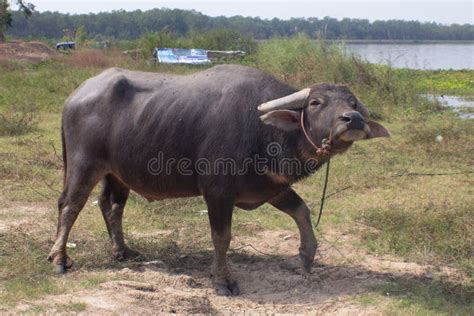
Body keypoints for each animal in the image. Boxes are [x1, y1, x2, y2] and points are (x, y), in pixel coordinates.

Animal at [47, 64, 388, 296]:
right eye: (316, 102)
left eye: (352, 103)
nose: (353, 120)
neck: (264, 131)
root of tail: (77, 94)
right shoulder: (217, 192)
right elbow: (222, 237)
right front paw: (223, 281)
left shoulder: (271, 187)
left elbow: (302, 212)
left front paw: (307, 255)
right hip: (84, 164)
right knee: (70, 205)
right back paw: (60, 259)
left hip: (117, 173)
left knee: (111, 205)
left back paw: (122, 251)